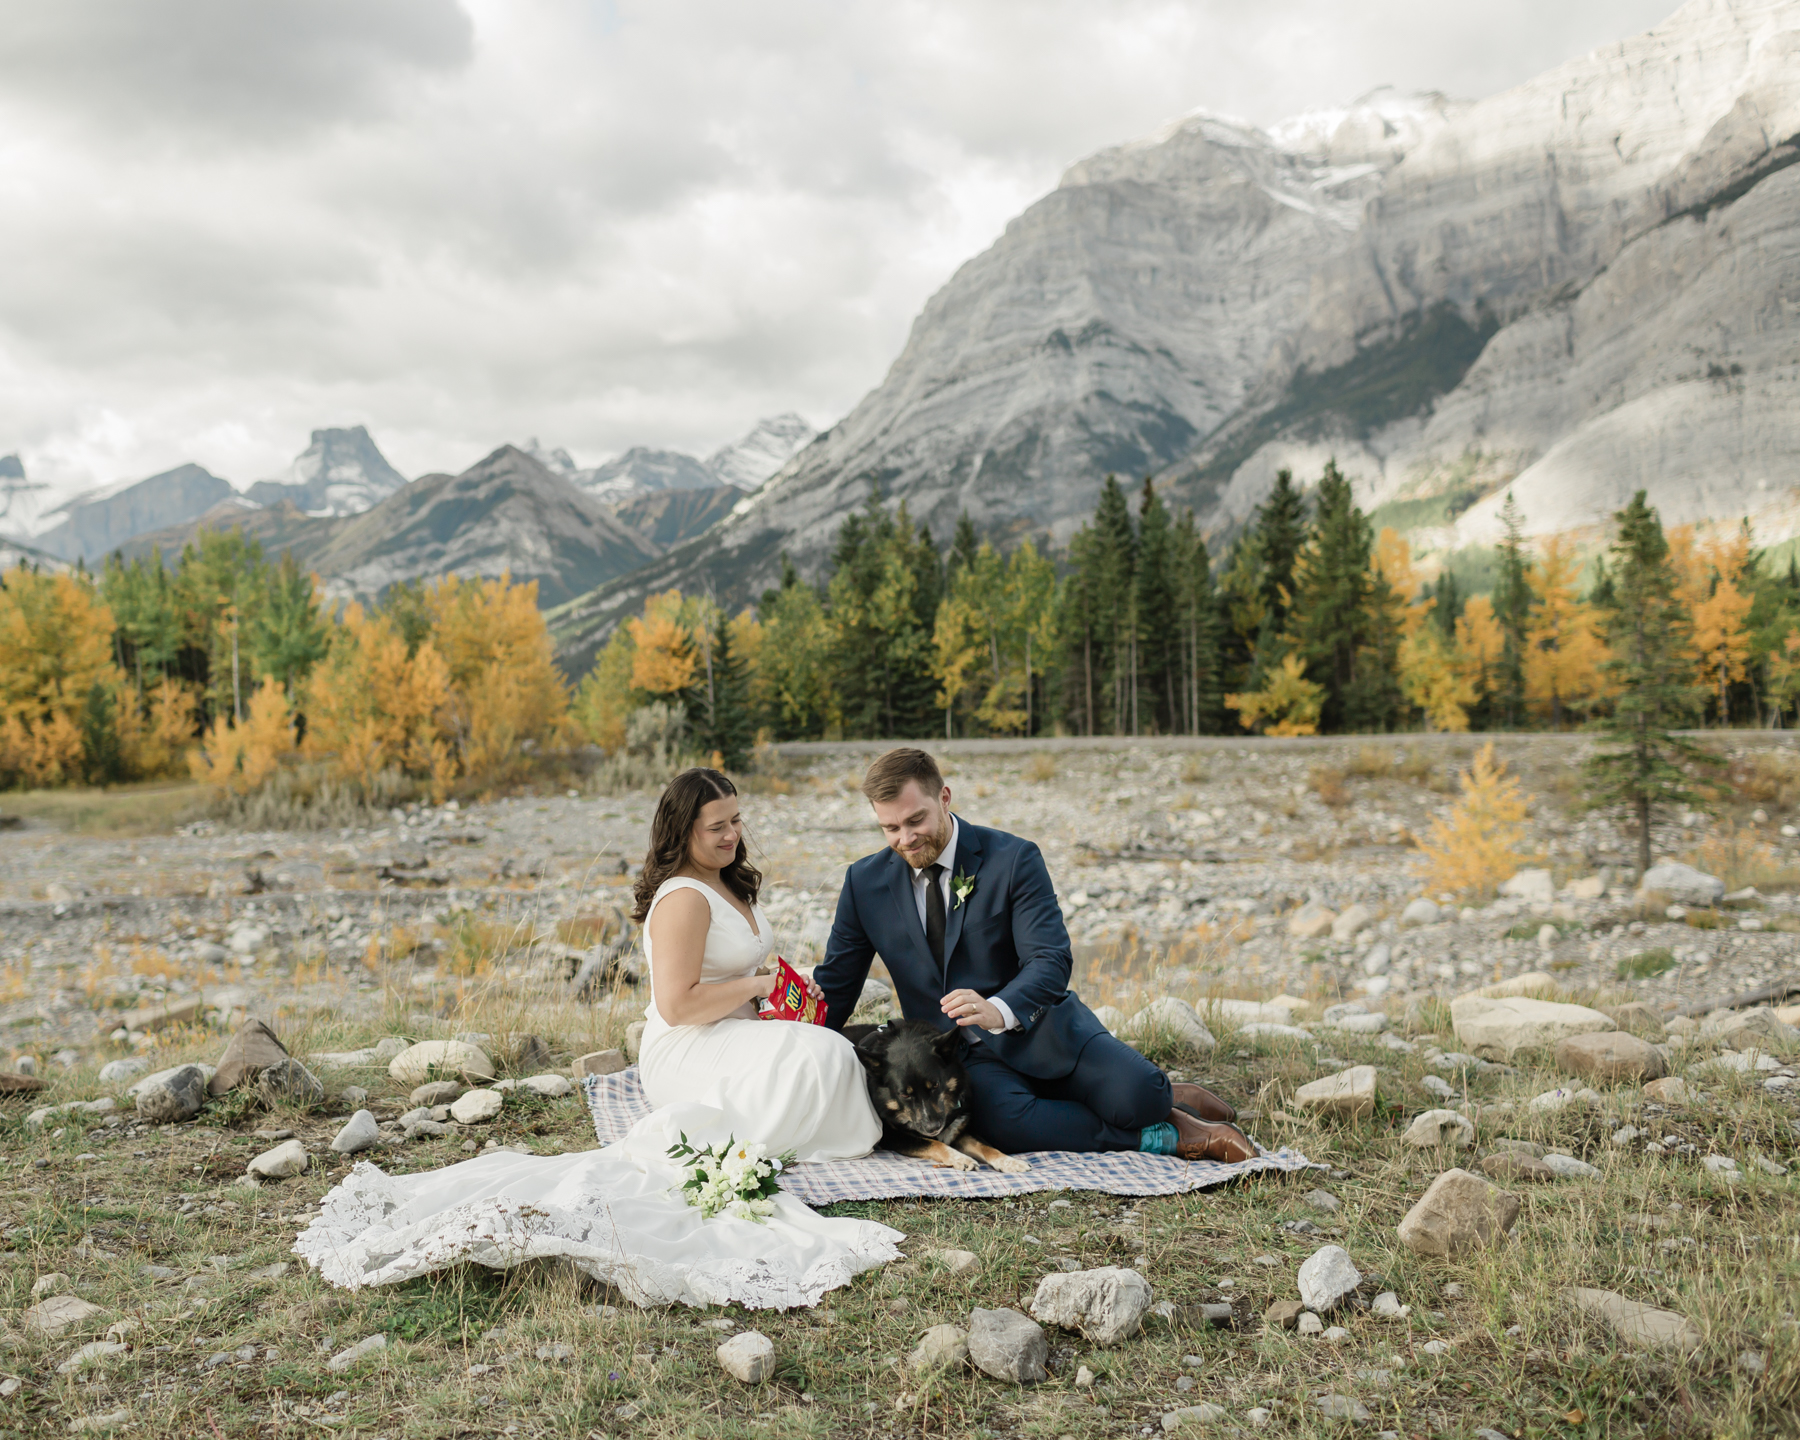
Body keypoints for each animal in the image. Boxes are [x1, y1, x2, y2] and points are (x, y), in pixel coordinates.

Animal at [838, 1015, 1029, 1173]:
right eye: (905, 1095)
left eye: (935, 1085)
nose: (933, 1127)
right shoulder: (894, 1136)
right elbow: (934, 1143)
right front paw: (960, 1158)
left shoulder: (957, 1130)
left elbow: (985, 1146)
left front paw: (1009, 1161)